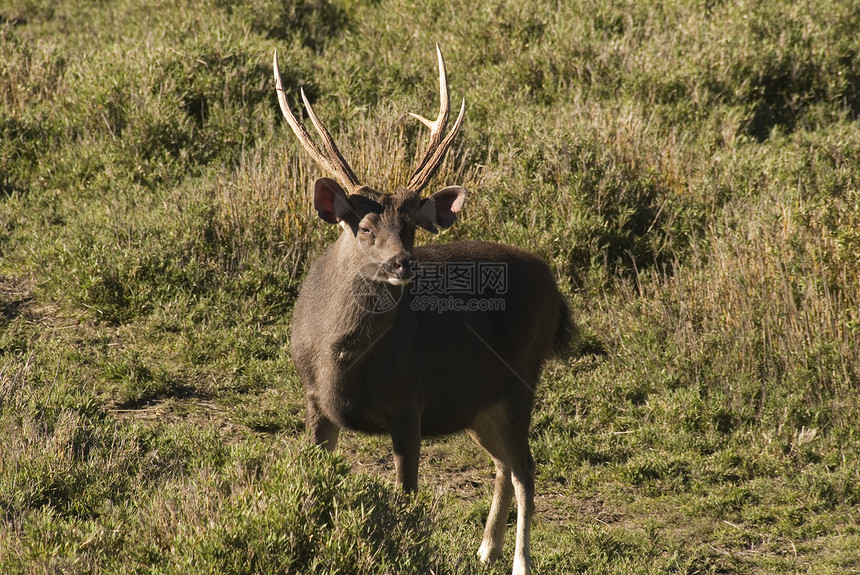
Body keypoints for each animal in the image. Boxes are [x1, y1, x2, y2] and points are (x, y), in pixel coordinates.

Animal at [272, 45, 576, 575]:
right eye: (364, 227)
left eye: (411, 225)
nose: (403, 263)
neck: (339, 360)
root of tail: (554, 287)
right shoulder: (313, 400)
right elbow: (316, 486)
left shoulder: (408, 401)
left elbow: (406, 497)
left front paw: (403, 552)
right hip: (479, 400)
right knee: (503, 462)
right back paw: (486, 548)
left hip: (521, 378)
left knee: (526, 469)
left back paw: (519, 560)